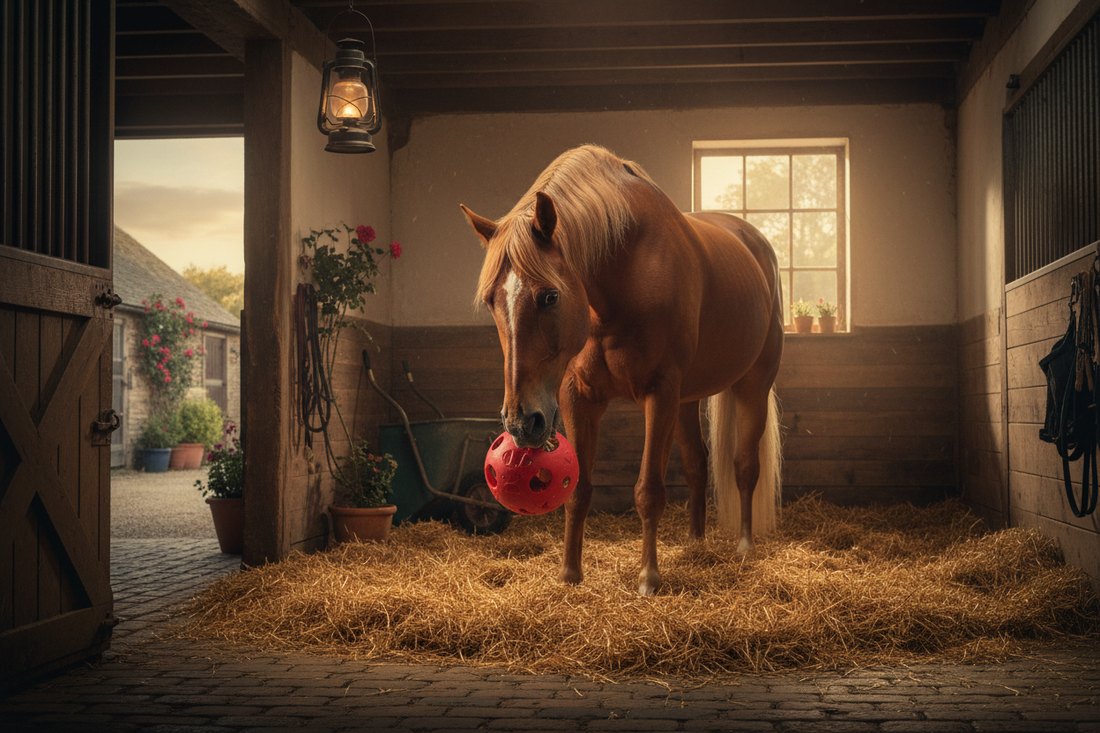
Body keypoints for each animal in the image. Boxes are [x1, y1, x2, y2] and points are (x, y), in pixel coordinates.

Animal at [462, 144, 784, 595]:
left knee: (744, 466)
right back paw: (695, 544)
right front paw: (570, 574)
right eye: (491, 299)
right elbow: (578, 490)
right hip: (687, 400)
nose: (522, 423)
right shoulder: (579, 397)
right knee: (697, 464)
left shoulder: (659, 393)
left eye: (549, 296)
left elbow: (648, 490)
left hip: (751, 386)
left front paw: (648, 578)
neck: (626, 274)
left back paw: (744, 547)